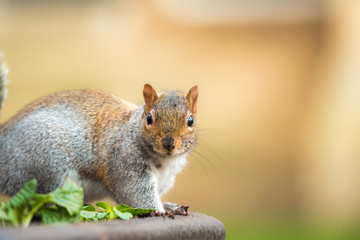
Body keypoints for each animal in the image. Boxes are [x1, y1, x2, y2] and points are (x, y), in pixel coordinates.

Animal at [0, 58, 197, 214]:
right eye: (149, 118)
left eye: (191, 121)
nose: (169, 143)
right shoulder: (124, 162)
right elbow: (136, 195)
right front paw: (160, 211)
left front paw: (171, 206)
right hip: (47, 165)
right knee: (44, 201)